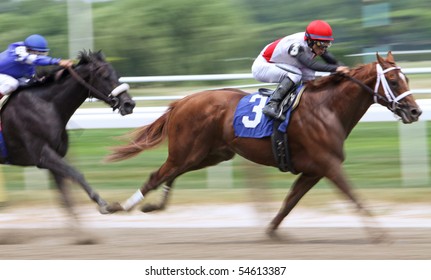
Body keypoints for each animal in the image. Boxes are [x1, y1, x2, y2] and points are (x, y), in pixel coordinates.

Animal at [102, 52, 422, 238]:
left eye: (406, 77)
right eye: (394, 81)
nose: (416, 111)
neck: (327, 108)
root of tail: (182, 101)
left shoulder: (313, 170)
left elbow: (289, 201)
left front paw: (271, 230)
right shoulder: (329, 165)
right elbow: (354, 195)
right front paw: (378, 231)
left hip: (210, 154)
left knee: (170, 174)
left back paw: (153, 206)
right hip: (188, 151)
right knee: (157, 174)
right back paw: (120, 206)